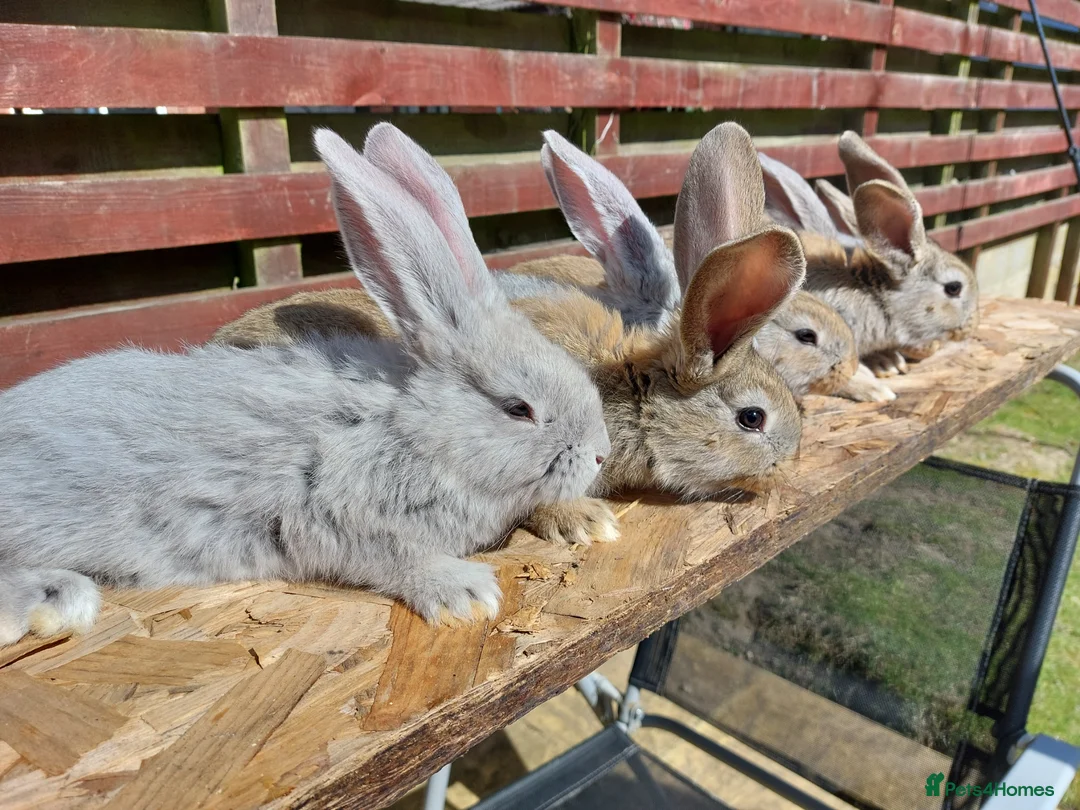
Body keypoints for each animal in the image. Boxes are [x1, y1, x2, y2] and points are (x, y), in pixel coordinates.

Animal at [0, 126, 611, 645]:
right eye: (518, 409)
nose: (601, 454)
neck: (414, 429)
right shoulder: (335, 517)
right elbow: (395, 558)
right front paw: (467, 594)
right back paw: (55, 603)